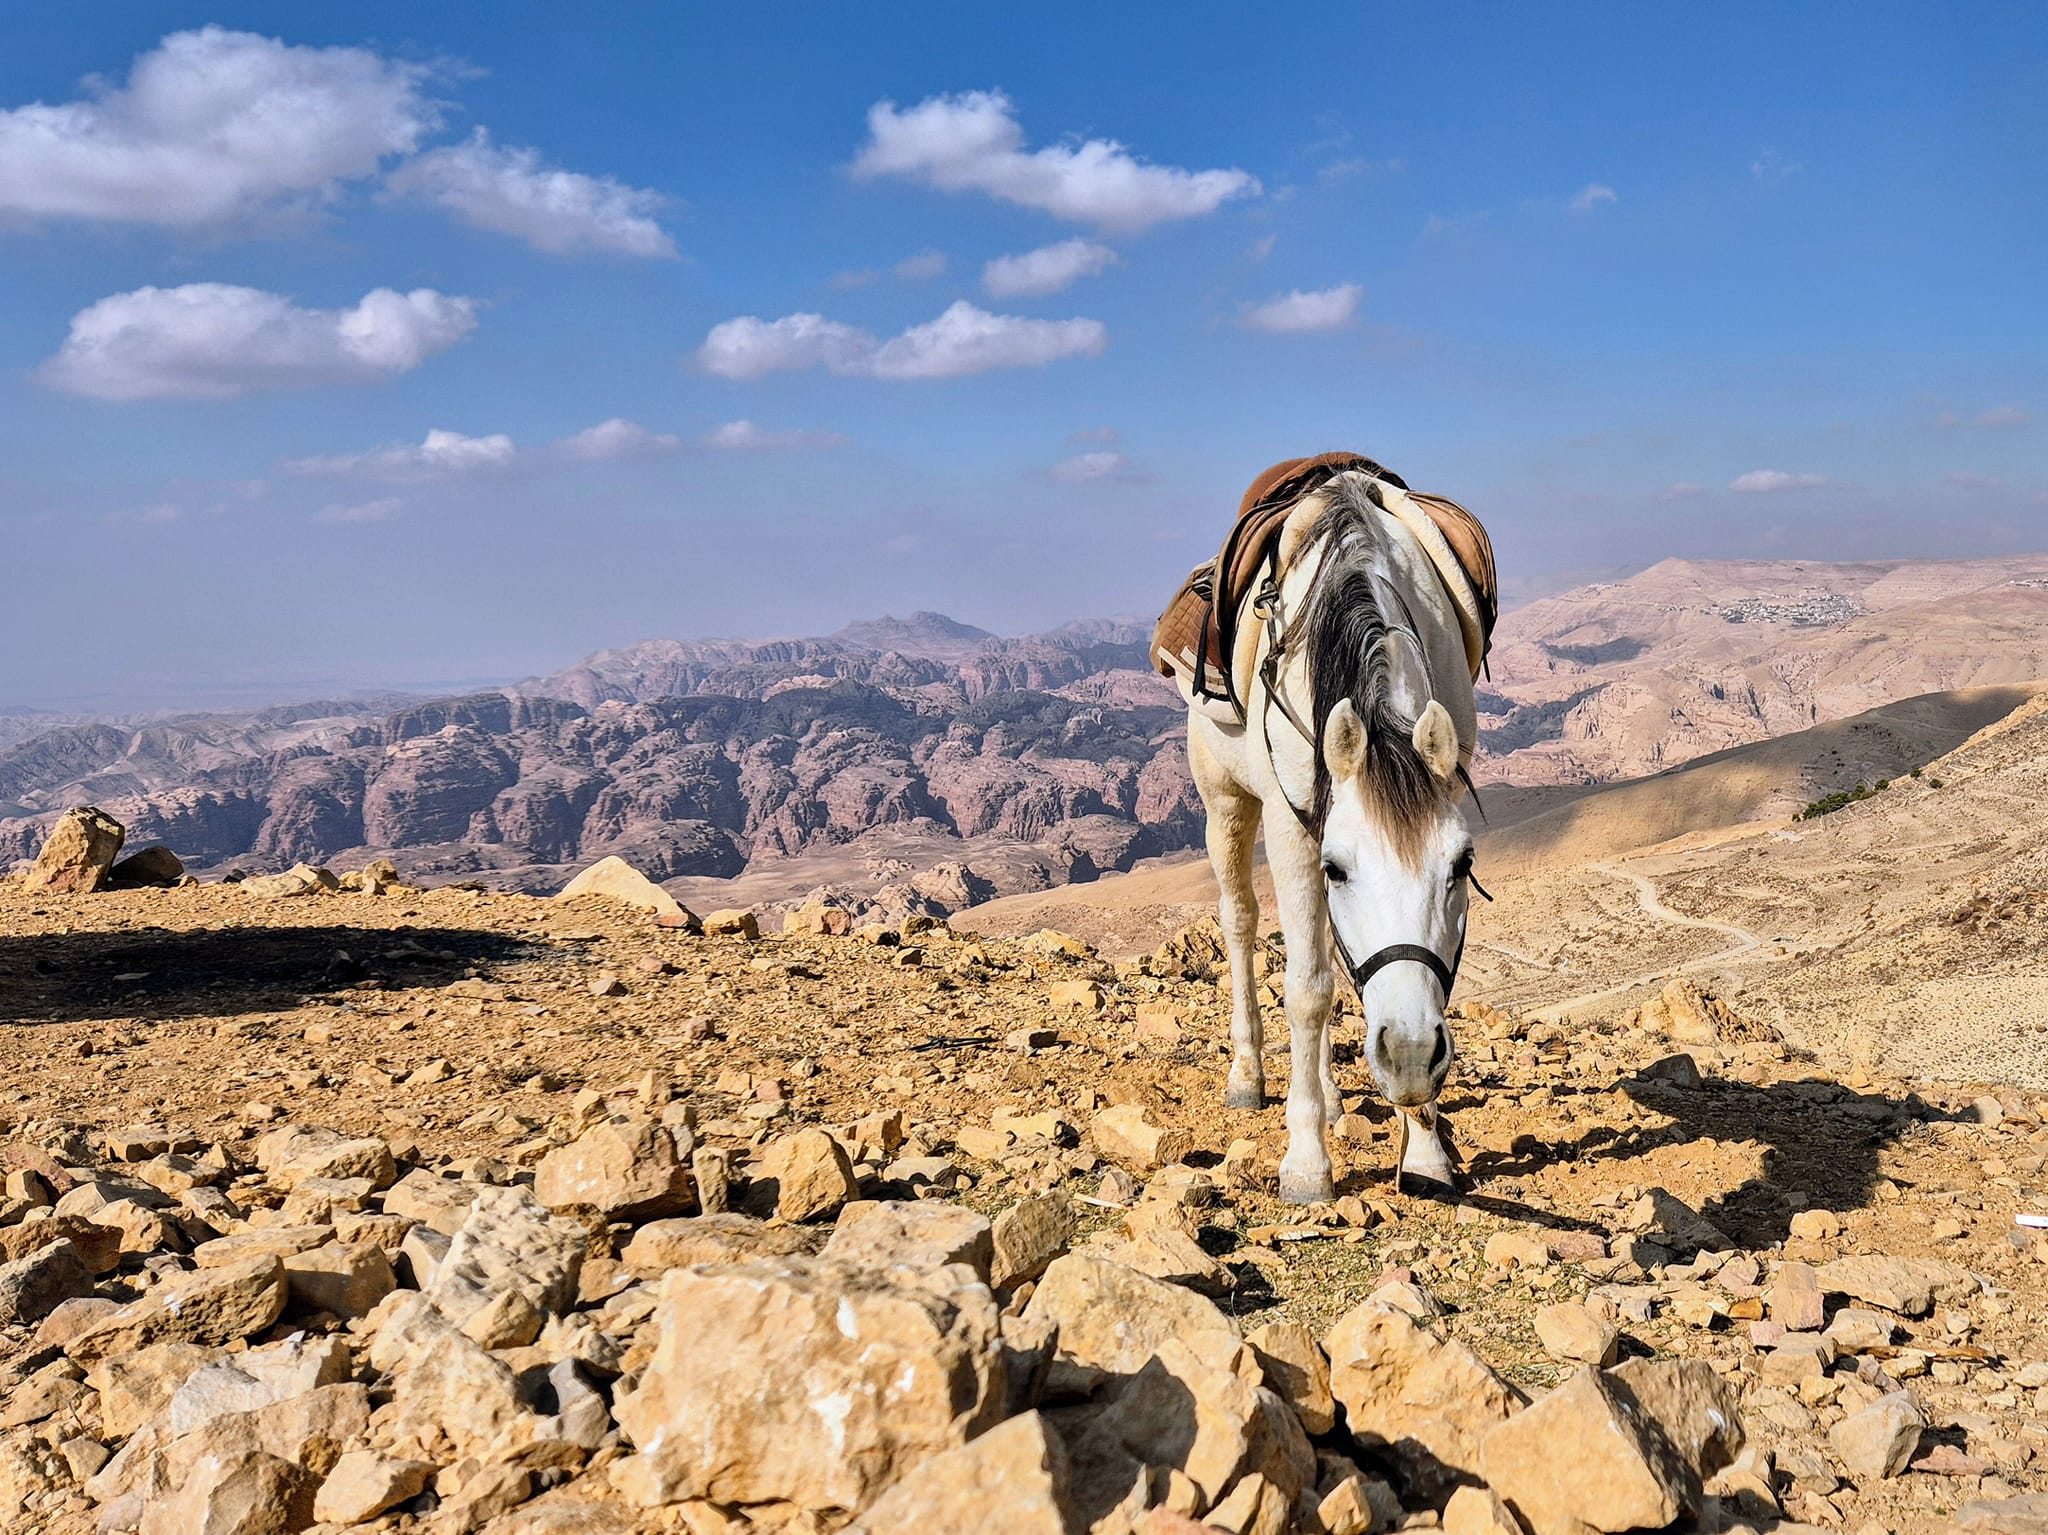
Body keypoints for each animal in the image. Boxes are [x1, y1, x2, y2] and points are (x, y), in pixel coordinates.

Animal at [1187, 468, 1490, 1203]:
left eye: (1462, 864)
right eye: (1338, 869)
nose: (1409, 1055)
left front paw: (1426, 1152)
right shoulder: (1291, 831)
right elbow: (1307, 989)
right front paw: (1304, 1163)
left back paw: (1329, 1094)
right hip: (1224, 803)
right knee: (1241, 922)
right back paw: (1249, 1075)